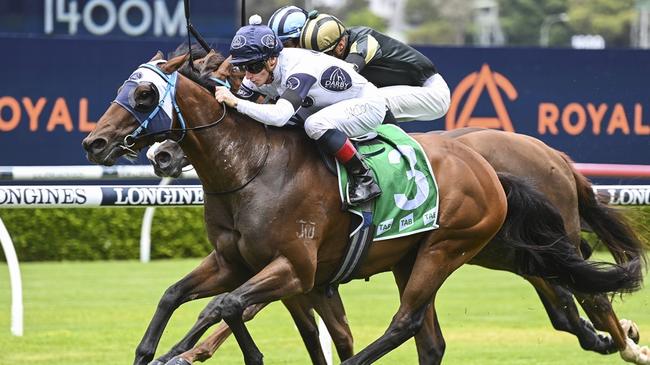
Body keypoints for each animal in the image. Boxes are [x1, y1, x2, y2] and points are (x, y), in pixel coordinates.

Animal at [82, 52, 644, 364]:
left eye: (145, 92)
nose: (95, 142)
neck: (252, 168)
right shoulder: (241, 264)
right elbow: (182, 296)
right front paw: (154, 353)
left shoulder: (294, 268)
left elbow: (223, 308)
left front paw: (185, 353)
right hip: (439, 256)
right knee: (447, 334)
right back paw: (608, 337)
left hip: (447, 248)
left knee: (409, 323)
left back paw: (626, 343)